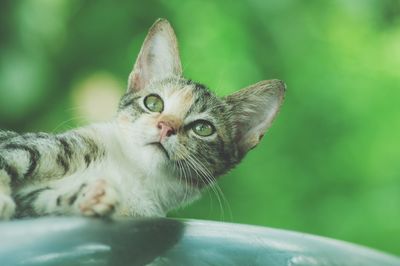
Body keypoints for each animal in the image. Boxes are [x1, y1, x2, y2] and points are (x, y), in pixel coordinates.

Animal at [0, 17, 286, 219]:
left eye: (203, 128)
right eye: (153, 103)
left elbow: (38, 201)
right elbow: (8, 162)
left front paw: (91, 196)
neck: (133, 176)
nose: (166, 126)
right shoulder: (28, 146)